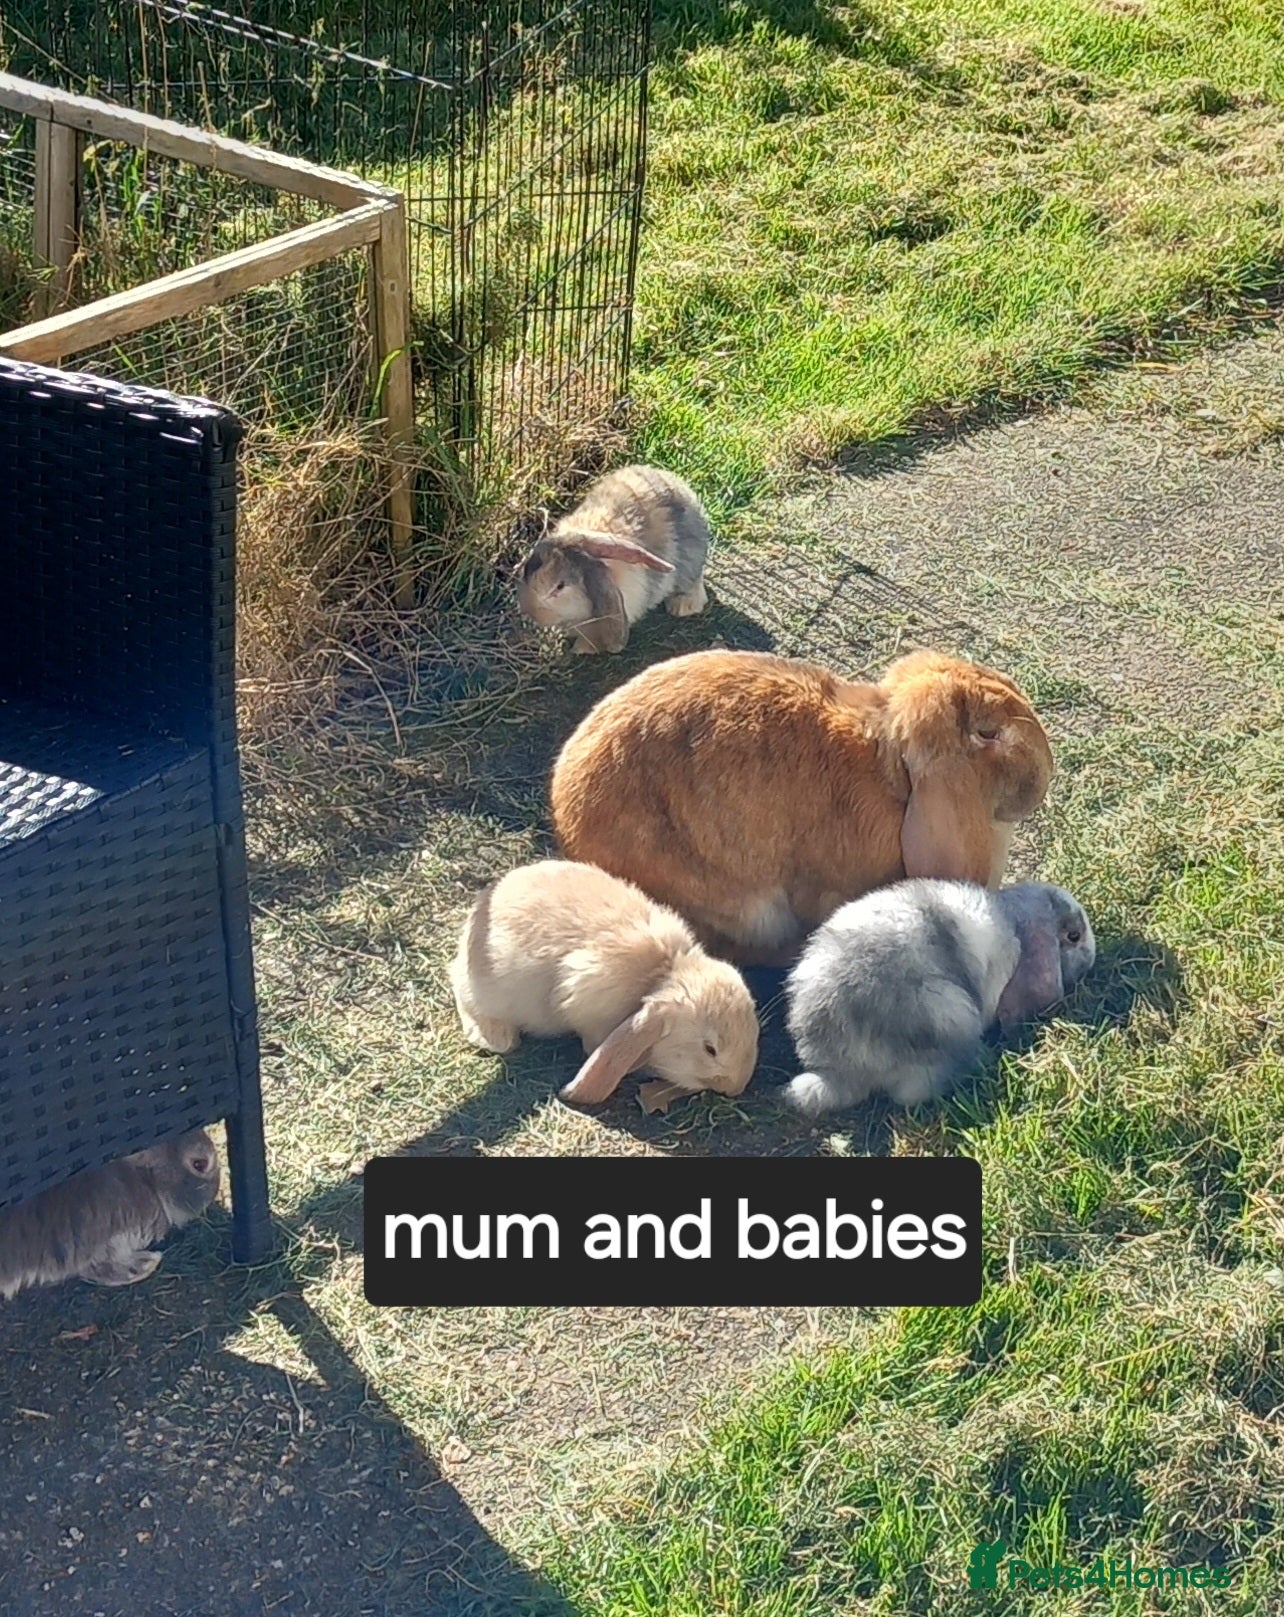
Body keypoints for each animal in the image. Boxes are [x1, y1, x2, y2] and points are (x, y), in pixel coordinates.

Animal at [516, 464, 711, 653]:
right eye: (528, 572)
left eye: (560, 586)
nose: (530, 611)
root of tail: (681, 487)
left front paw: (583, 648)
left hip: (690, 561)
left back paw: (683, 606)